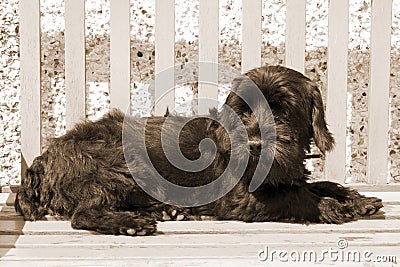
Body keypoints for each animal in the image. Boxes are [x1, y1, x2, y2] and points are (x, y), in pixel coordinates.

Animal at [16, 65, 384, 237]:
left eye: (282, 110)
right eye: (243, 110)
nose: (254, 146)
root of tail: (42, 162)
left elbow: (318, 184)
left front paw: (357, 199)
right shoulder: (244, 199)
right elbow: (299, 196)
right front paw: (333, 208)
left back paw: (167, 211)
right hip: (115, 167)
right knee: (83, 214)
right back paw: (131, 223)